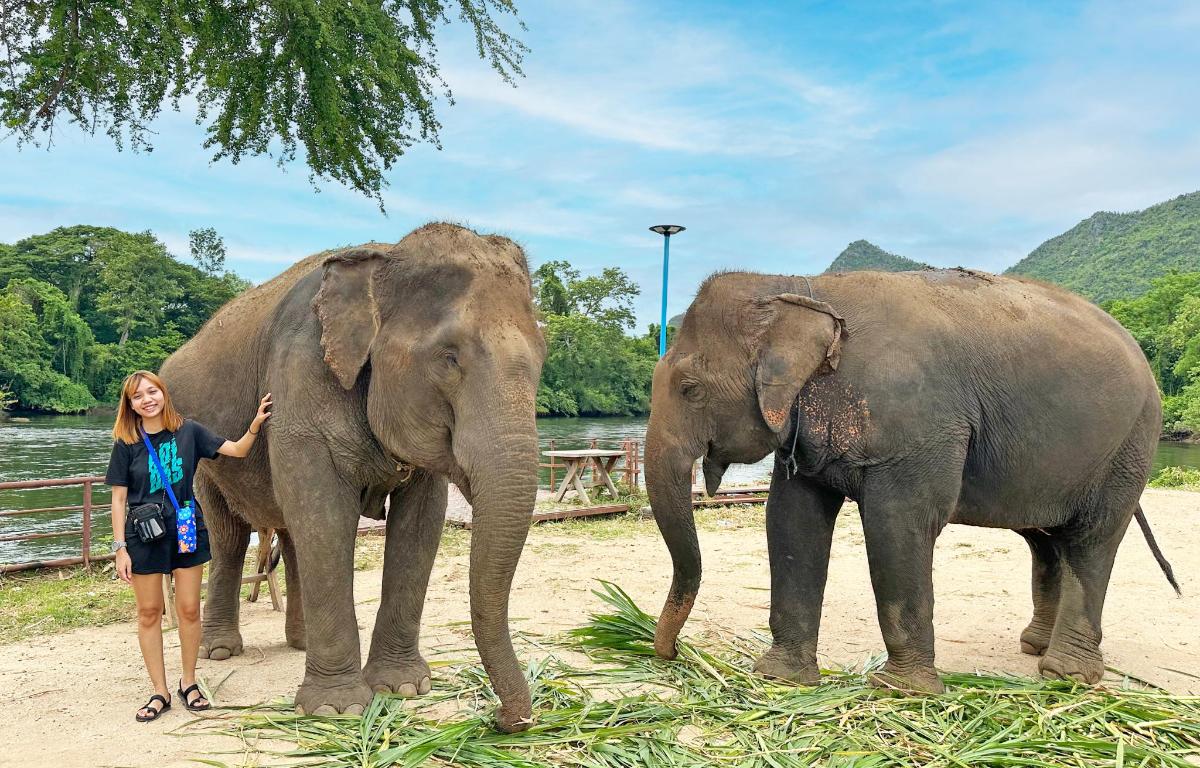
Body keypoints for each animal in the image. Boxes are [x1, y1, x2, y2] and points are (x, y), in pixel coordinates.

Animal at [158, 223, 544, 729]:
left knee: (291, 532)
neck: (384, 258)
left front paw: (403, 688)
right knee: (229, 535)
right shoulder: (300, 377)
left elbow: (421, 525)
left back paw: (299, 643)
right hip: (196, 456)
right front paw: (335, 709)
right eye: (449, 357)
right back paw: (219, 651)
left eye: (543, 358)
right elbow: (326, 518)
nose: (503, 718)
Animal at [648, 266, 1180, 691]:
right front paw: (781, 679)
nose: (673, 654)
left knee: (1091, 540)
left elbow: (898, 526)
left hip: (1130, 445)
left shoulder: (920, 431)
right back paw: (1034, 647)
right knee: (1046, 541)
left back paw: (1066, 676)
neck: (802, 288)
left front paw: (902, 689)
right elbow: (790, 521)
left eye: (690, 389)